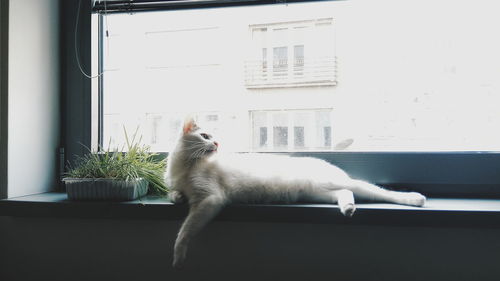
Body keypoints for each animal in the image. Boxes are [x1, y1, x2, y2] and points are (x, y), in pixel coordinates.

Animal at [167, 116, 426, 266]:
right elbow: (175, 195)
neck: (186, 165)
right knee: (345, 193)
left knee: (374, 190)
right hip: (320, 192)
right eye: (205, 136)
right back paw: (348, 208)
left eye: (213, 138)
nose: (217, 144)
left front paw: (178, 256)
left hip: (341, 184)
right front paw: (176, 196)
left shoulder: (210, 200)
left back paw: (414, 198)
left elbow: (185, 230)